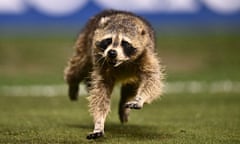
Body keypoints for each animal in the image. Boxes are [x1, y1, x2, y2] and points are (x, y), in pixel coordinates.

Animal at [63, 9, 165, 140]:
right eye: (108, 40)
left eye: (125, 43)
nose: (112, 53)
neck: (120, 63)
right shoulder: (100, 61)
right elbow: (100, 92)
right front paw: (99, 122)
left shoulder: (146, 54)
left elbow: (152, 79)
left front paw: (140, 98)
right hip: (85, 42)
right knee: (78, 66)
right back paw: (72, 84)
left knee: (131, 87)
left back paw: (124, 105)